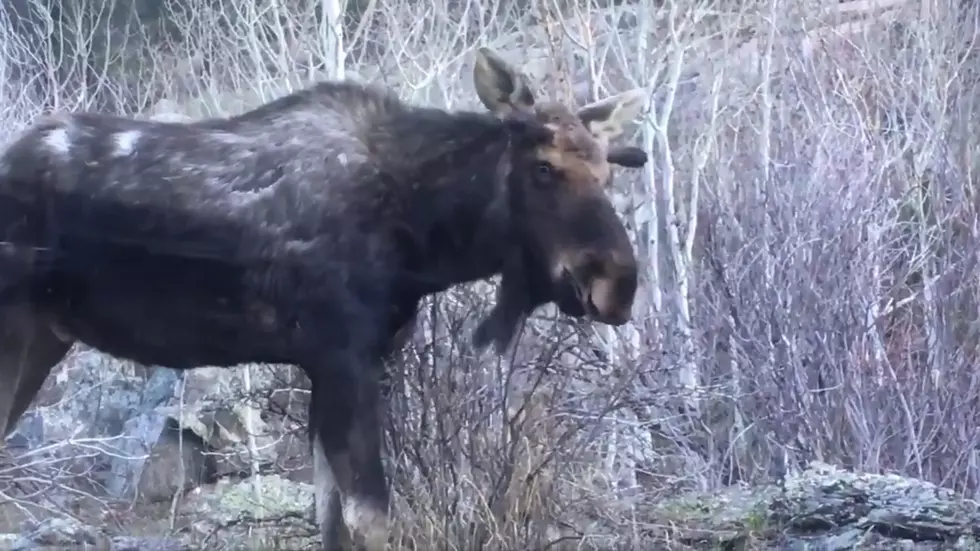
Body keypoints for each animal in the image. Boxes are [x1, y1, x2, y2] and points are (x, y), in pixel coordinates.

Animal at [0, 48, 652, 551]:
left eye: (606, 172)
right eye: (543, 167)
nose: (617, 284)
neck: (425, 235)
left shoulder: (348, 363)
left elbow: (332, 519)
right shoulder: (343, 357)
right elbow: (370, 519)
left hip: (44, 340)